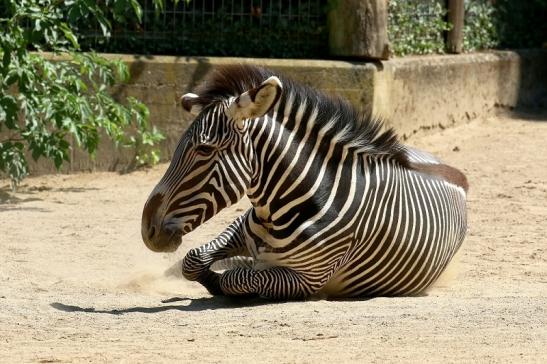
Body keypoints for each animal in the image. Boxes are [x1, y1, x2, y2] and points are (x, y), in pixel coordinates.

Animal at [140, 65, 466, 298]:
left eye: (204, 150)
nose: (147, 230)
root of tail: (455, 172)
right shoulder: (241, 229)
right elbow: (193, 258)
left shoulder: (307, 278)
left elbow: (236, 278)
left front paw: (221, 280)